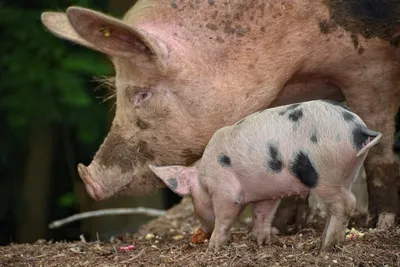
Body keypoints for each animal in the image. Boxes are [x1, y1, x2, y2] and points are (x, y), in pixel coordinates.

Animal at [39, 1, 400, 229]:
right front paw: (283, 228)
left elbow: (380, 148)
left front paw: (380, 226)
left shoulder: (371, 65)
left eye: (142, 94)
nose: (89, 179)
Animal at [149, 100, 382, 253]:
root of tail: (358, 128)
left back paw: (324, 248)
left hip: (325, 174)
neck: (203, 178)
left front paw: (213, 247)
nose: (202, 232)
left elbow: (225, 216)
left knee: (346, 203)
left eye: (192, 199)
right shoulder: (268, 193)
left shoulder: (225, 191)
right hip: (348, 171)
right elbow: (262, 214)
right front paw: (262, 242)